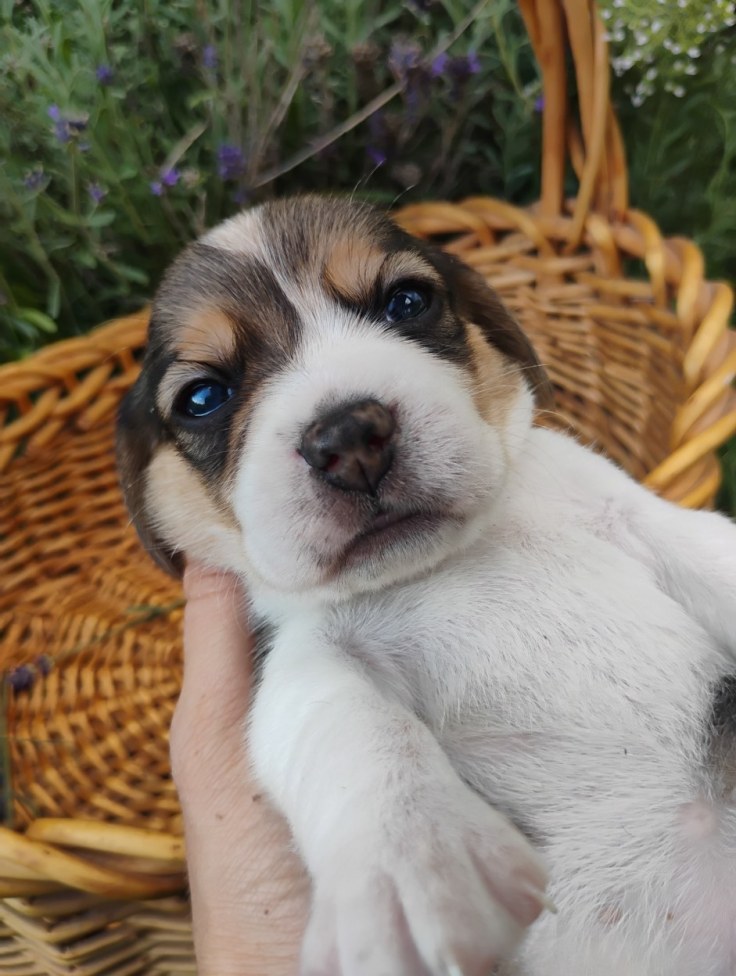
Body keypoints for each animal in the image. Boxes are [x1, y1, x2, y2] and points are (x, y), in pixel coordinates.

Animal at [117, 195, 736, 976]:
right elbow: (358, 731)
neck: (448, 559)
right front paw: (413, 873)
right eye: (203, 396)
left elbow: (711, 550)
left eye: (407, 301)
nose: (349, 438)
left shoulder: (632, 516)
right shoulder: (301, 661)